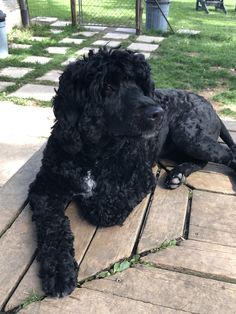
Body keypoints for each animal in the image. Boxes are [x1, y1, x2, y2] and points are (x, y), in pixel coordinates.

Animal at [28, 47, 236, 298]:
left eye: (141, 84)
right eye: (108, 87)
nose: (158, 113)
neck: (94, 153)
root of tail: (209, 105)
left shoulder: (141, 178)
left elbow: (102, 209)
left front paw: (89, 198)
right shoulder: (45, 187)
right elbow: (53, 227)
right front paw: (59, 272)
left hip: (189, 135)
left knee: (227, 153)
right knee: (202, 161)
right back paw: (177, 175)